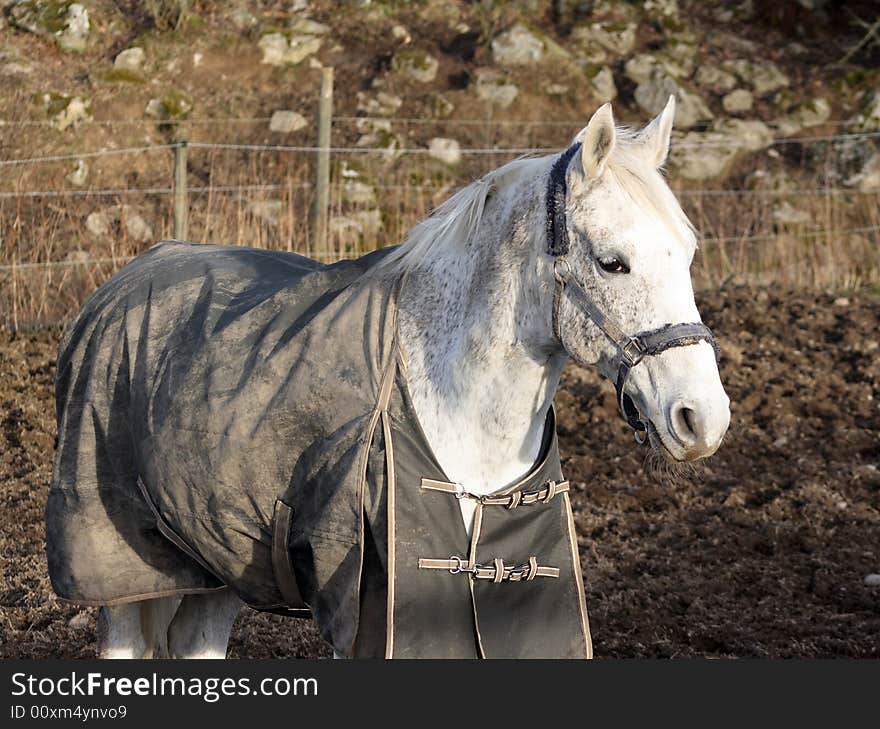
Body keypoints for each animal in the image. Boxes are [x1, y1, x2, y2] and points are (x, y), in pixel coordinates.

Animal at [94, 94, 728, 656]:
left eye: (688, 253)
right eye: (612, 262)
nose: (703, 419)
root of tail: (125, 278)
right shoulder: (368, 610)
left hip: (221, 555)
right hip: (126, 566)